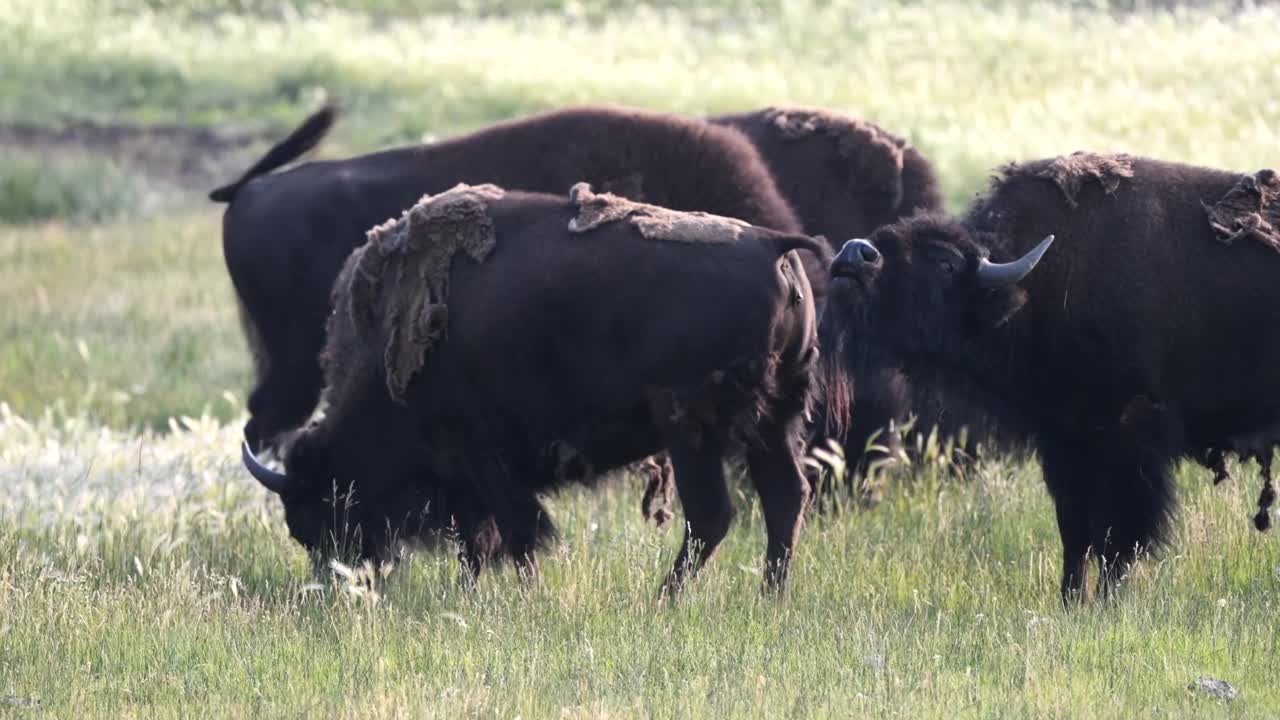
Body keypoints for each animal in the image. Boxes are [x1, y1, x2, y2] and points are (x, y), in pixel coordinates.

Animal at [240, 181, 819, 591]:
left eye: (318, 512)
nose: (337, 580)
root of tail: (773, 244)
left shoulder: (482, 457)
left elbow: (512, 533)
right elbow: (480, 539)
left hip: (691, 428)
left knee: (711, 516)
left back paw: (664, 599)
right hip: (776, 419)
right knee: (785, 499)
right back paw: (770, 596)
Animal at [819, 149, 1280, 599]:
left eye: (945, 264)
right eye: (884, 237)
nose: (855, 256)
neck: (1036, 286)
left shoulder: (1126, 443)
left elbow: (1118, 537)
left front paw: (1107, 601)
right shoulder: (1063, 444)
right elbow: (1076, 533)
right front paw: (1071, 601)